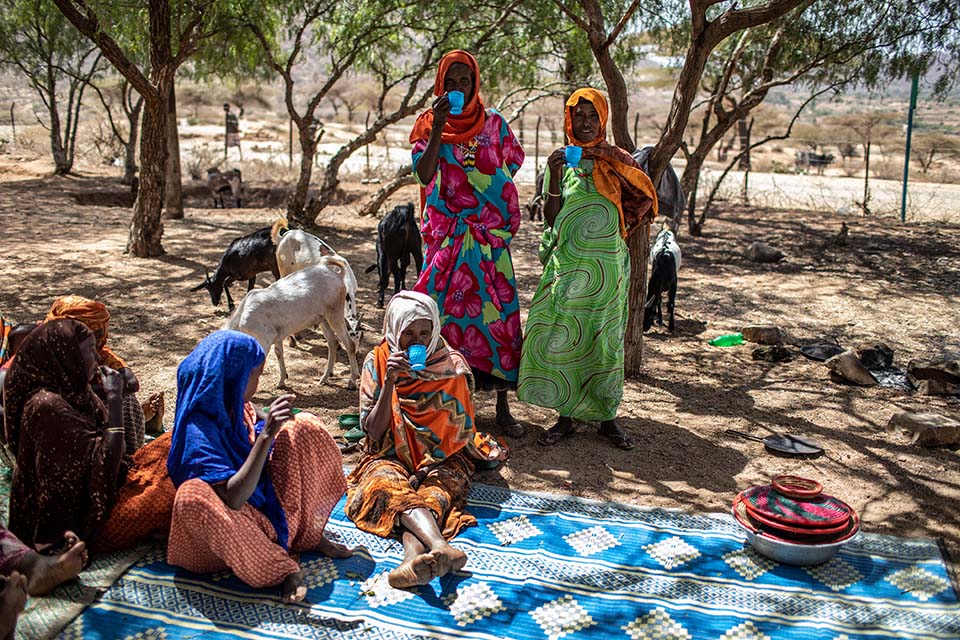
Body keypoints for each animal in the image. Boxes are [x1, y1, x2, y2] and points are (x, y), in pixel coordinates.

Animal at [225, 256, 360, 388]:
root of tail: (337, 274)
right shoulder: (277, 336)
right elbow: (278, 353)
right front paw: (281, 381)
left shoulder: (265, 338)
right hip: (323, 319)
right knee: (333, 342)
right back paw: (325, 378)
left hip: (334, 314)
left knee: (349, 344)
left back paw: (352, 381)